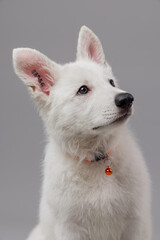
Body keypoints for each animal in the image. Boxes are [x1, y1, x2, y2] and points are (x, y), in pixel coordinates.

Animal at [13, 25, 152, 240]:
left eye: (111, 83)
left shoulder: (136, 222)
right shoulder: (70, 228)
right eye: (83, 90)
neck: (97, 159)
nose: (127, 99)